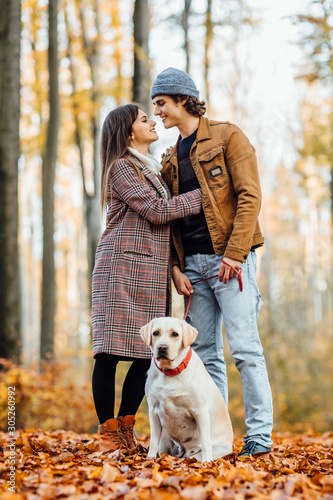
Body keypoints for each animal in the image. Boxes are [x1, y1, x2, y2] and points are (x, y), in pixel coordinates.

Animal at [139, 318, 232, 462]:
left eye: (175, 334)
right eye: (155, 333)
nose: (162, 347)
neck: (170, 372)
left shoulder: (200, 411)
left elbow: (205, 442)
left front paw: (207, 462)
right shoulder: (153, 411)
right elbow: (153, 442)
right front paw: (150, 459)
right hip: (165, 437)